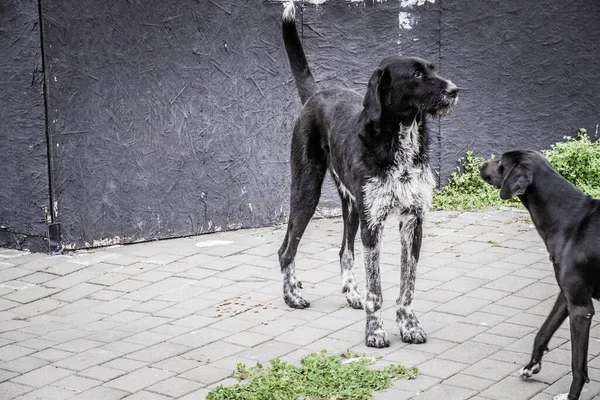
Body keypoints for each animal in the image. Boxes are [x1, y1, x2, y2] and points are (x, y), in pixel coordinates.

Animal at [278, 0, 458, 346]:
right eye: (417, 74)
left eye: (433, 68)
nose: (455, 90)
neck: (401, 141)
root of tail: (315, 95)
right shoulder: (373, 223)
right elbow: (377, 289)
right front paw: (375, 331)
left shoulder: (413, 220)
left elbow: (407, 284)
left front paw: (408, 325)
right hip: (306, 190)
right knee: (286, 250)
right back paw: (292, 296)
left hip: (351, 206)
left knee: (344, 252)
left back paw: (351, 294)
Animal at [478, 151, 600, 400]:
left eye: (501, 162)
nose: (480, 165)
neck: (569, 218)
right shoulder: (566, 297)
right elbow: (543, 332)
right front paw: (531, 365)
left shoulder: (581, 310)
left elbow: (577, 365)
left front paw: (571, 397)